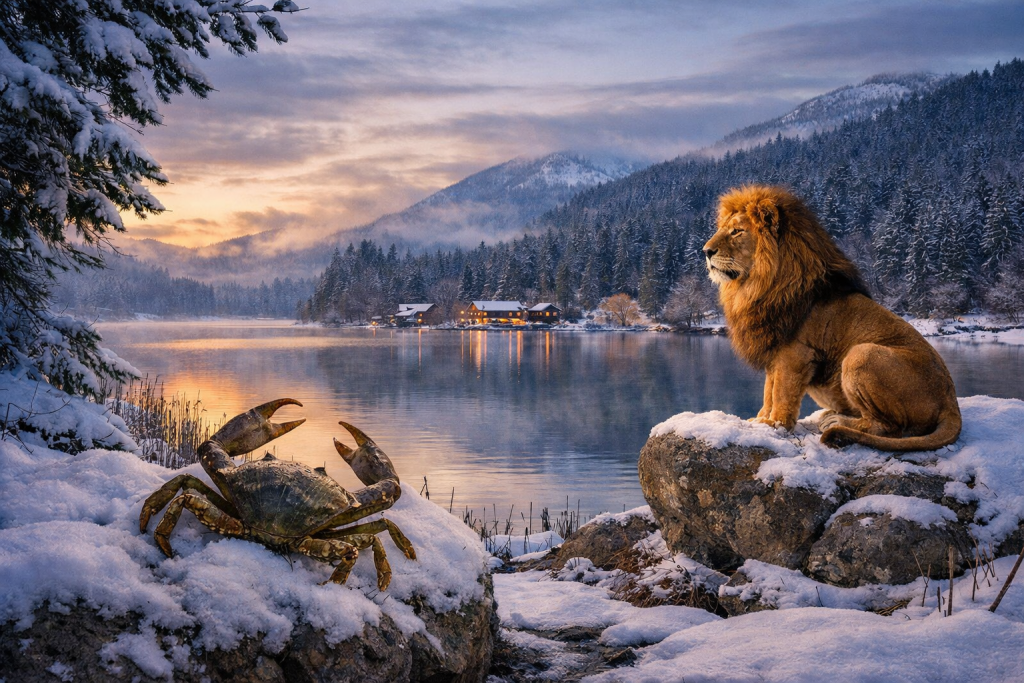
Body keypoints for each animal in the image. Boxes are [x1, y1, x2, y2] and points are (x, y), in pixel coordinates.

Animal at [703, 184, 961, 451]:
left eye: (737, 231)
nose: (706, 252)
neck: (757, 285)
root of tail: (951, 404)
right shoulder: (775, 347)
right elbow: (769, 389)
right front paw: (761, 419)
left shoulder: (795, 354)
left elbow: (781, 392)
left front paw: (776, 424)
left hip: (862, 354)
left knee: (890, 428)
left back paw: (837, 421)